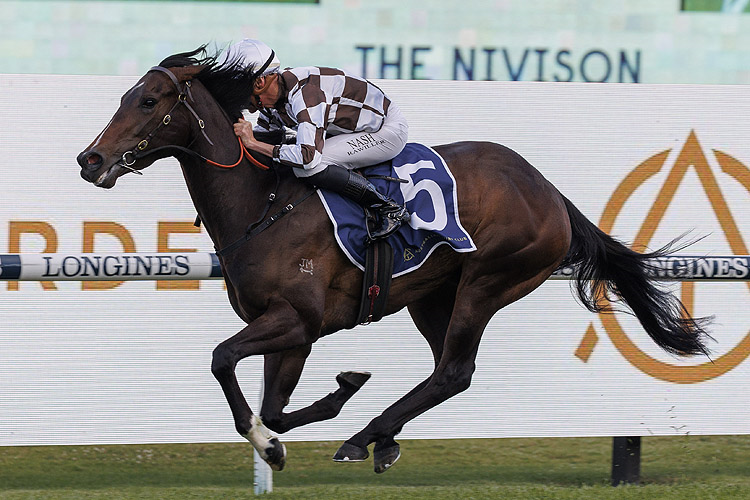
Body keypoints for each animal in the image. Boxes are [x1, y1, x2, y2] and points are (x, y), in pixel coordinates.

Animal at [76, 48, 712, 474]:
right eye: (124, 97)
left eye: (149, 101)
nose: (90, 160)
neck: (262, 206)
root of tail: (550, 193)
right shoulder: (293, 332)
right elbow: (274, 408)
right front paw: (303, 419)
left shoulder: (296, 320)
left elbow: (221, 359)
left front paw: (275, 442)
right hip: (432, 295)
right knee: (446, 371)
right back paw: (380, 437)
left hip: (489, 279)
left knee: (454, 370)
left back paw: (366, 437)